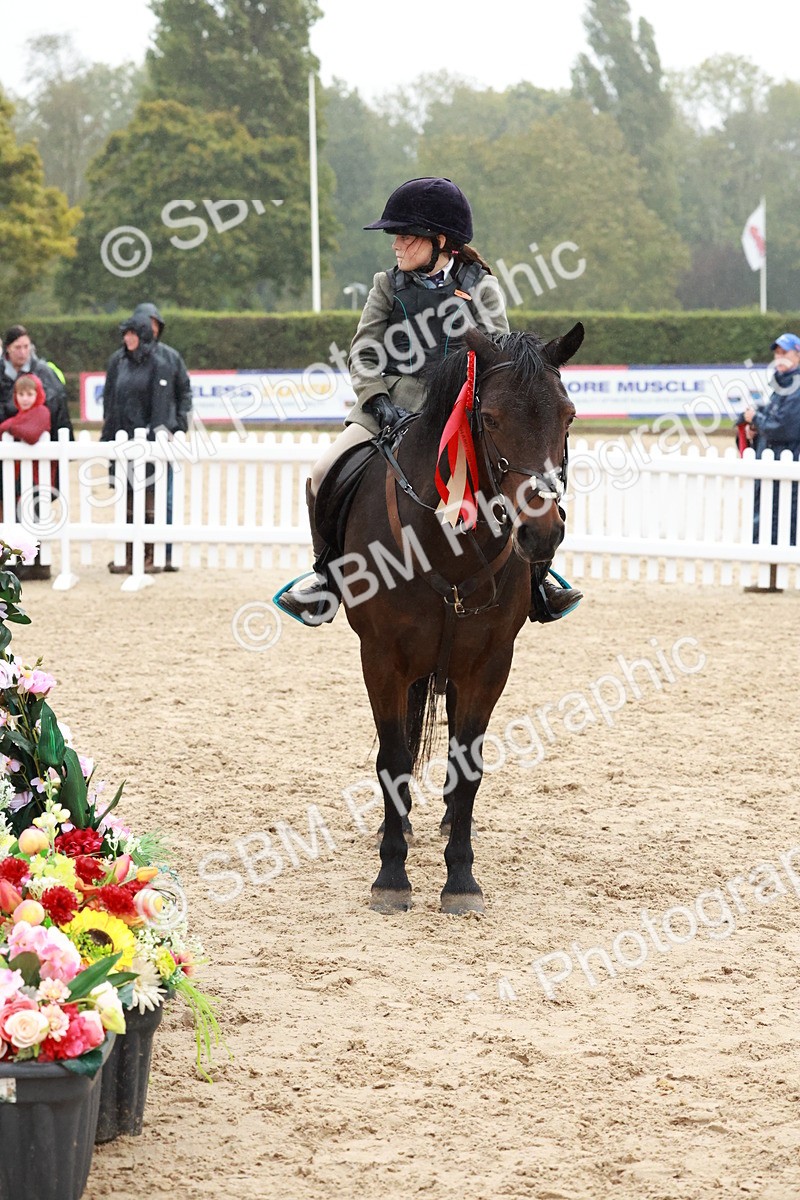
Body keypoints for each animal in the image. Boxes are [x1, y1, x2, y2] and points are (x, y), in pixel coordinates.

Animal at [339, 321, 583, 914]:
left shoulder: (488, 664)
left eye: (567, 416)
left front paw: (461, 878)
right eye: (490, 418)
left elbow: (467, 765)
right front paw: (391, 875)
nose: (542, 533)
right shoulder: (381, 659)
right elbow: (393, 758)